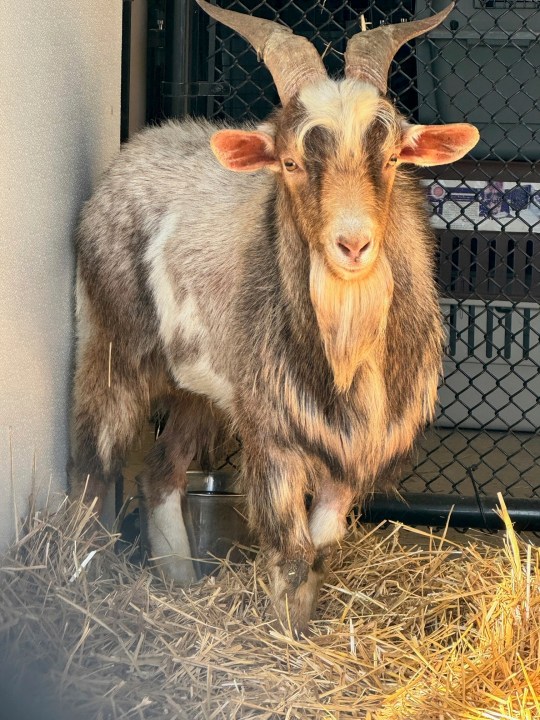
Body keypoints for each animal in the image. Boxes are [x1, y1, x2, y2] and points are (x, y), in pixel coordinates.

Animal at [69, 0, 478, 632]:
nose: (353, 245)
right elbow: (291, 551)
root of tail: (140, 146)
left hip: (203, 389)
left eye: (390, 159)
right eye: (289, 162)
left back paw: (180, 579)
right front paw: (284, 633)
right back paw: (82, 573)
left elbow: (321, 548)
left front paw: (303, 632)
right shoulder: (274, 435)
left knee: (160, 471)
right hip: (113, 343)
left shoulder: (348, 453)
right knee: (95, 454)